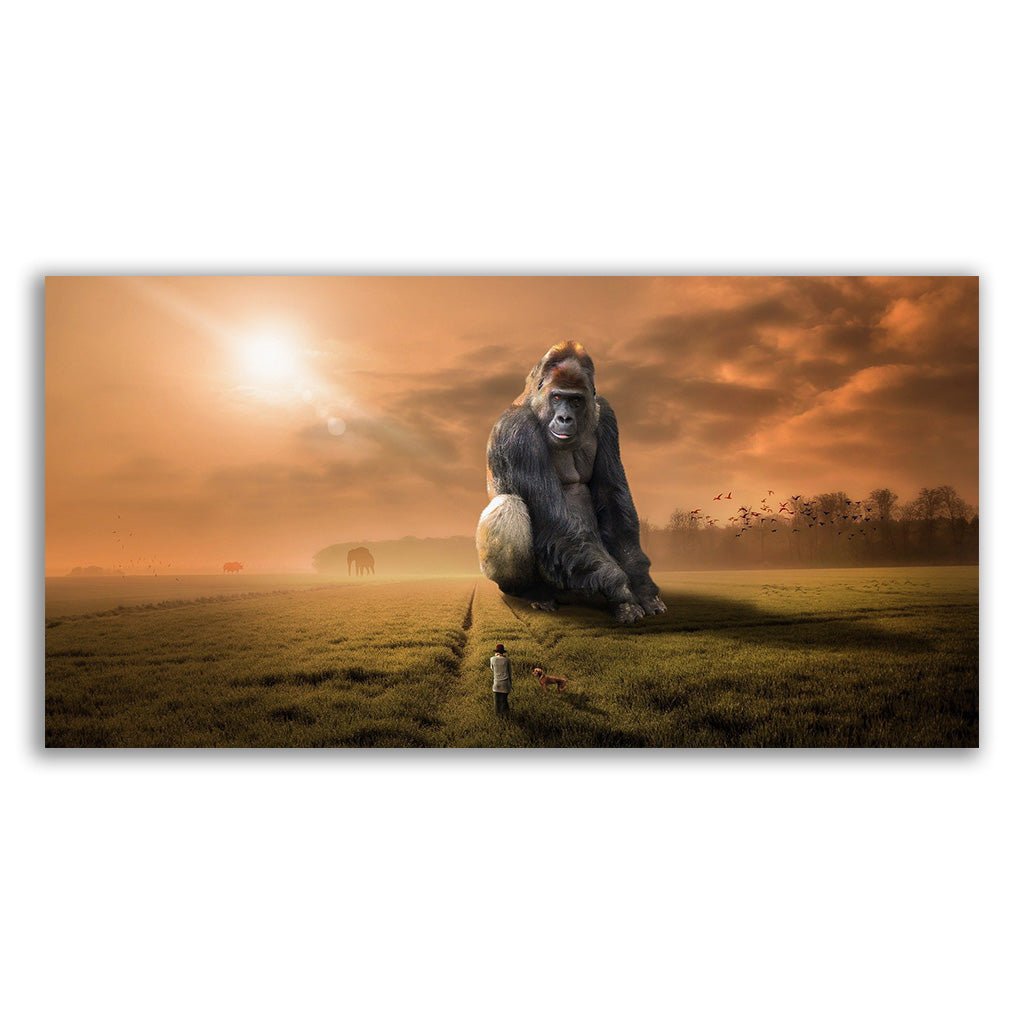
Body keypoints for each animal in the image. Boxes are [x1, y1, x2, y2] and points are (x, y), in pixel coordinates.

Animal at [476, 341, 666, 624]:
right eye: (557, 398)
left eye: (575, 400)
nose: (564, 418)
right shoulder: (517, 431)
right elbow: (552, 517)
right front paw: (620, 589)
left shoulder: (606, 413)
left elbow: (612, 500)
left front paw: (642, 585)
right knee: (508, 506)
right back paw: (532, 592)